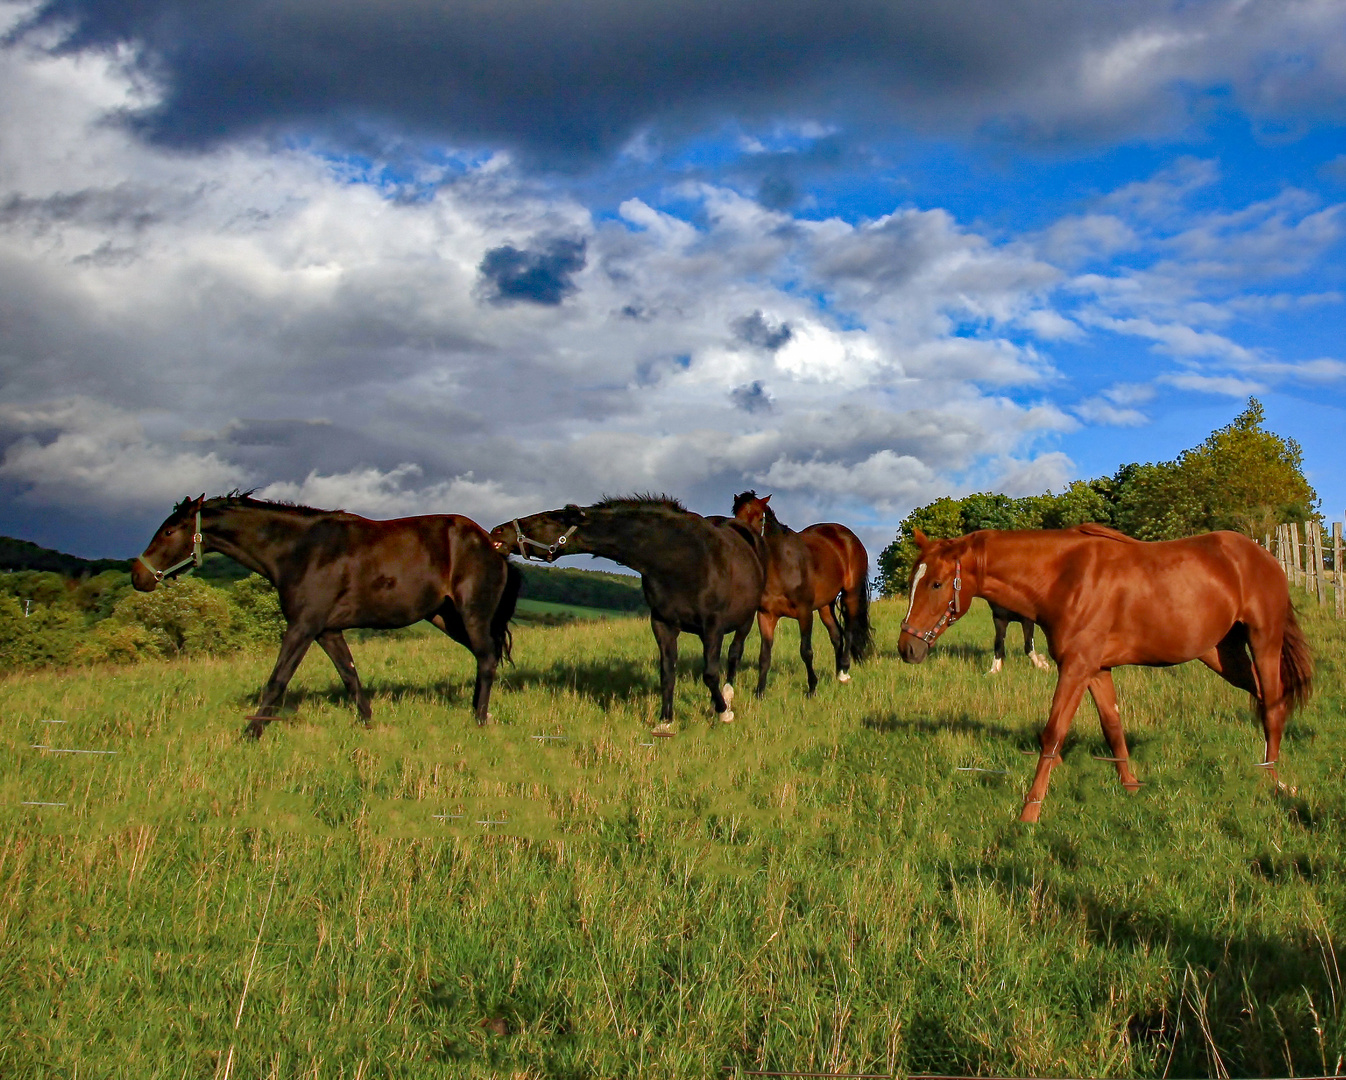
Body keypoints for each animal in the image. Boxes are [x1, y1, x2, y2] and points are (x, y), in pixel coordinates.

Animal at [132, 492, 519, 737]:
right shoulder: (327, 631)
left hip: (471, 614)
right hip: (446, 618)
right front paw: (368, 724)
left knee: (487, 659)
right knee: (484, 658)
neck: (300, 550)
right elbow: (350, 677)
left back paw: (479, 719)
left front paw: (251, 732)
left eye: (169, 531)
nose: (137, 576)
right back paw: (475, 710)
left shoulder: (302, 627)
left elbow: (277, 681)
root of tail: (493, 544)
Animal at [487, 495, 764, 732]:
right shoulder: (662, 624)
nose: (498, 531)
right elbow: (667, 672)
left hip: (745, 621)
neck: (683, 558)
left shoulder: (712, 626)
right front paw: (665, 721)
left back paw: (728, 695)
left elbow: (710, 674)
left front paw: (723, 712)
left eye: (546, 519)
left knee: (734, 654)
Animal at [737, 490, 872, 694]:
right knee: (836, 636)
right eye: (736, 515)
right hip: (825, 605)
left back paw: (844, 672)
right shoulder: (766, 615)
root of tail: (848, 536)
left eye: (760, 518)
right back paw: (837, 673)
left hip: (851, 594)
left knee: (848, 631)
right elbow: (764, 655)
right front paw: (760, 691)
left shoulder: (805, 613)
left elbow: (806, 651)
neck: (782, 566)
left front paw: (812, 688)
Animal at [899, 519, 1308, 818]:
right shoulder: (1097, 670)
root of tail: (1264, 556)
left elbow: (1053, 734)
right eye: (913, 580)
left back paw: (1275, 782)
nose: (907, 648)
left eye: (936, 583)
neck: (1065, 578)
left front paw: (1030, 812)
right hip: (1222, 653)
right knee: (1265, 699)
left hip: (1264, 641)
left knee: (1273, 706)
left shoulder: (1076, 668)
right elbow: (1113, 728)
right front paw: (1131, 788)